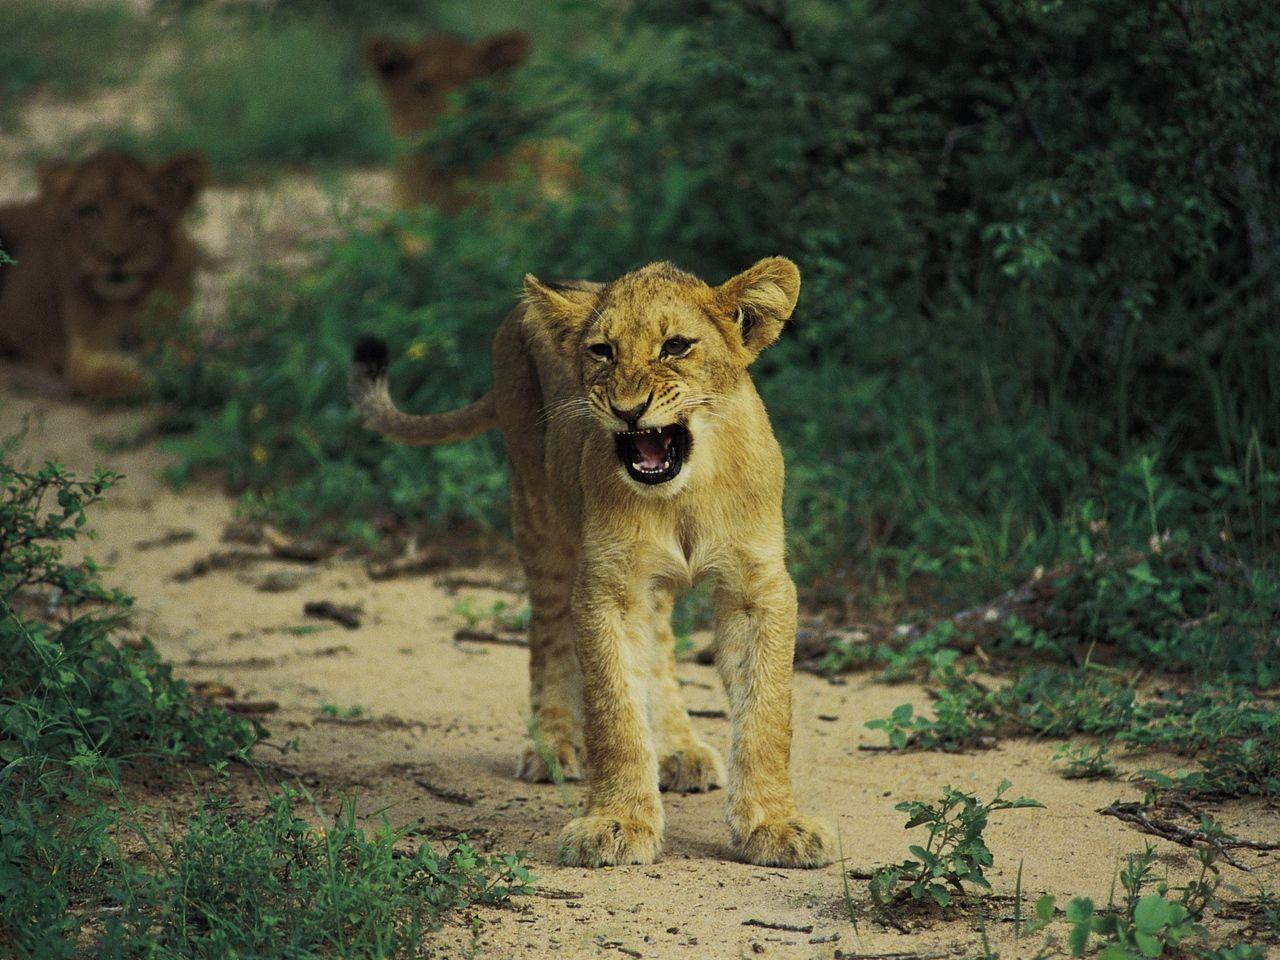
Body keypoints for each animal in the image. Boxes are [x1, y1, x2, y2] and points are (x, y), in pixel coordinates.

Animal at [0, 150, 207, 398]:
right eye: (90, 210)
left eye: (142, 211)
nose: (115, 257)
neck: (126, 299)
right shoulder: (85, 351)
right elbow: (110, 378)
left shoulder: (172, 331)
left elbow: (184, 357)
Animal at [349, 257, 835, 868]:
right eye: (602, 351)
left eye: (676, 346)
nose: (628, 411)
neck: (682, 495)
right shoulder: (608, 585)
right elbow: (613, 708)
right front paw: (618, 822)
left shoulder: (758, 587)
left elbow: (768, 713)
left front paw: (773, 826)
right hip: (537, 513)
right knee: (547, 630)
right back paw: (552, 745)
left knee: (659, 645)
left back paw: (679, 750)